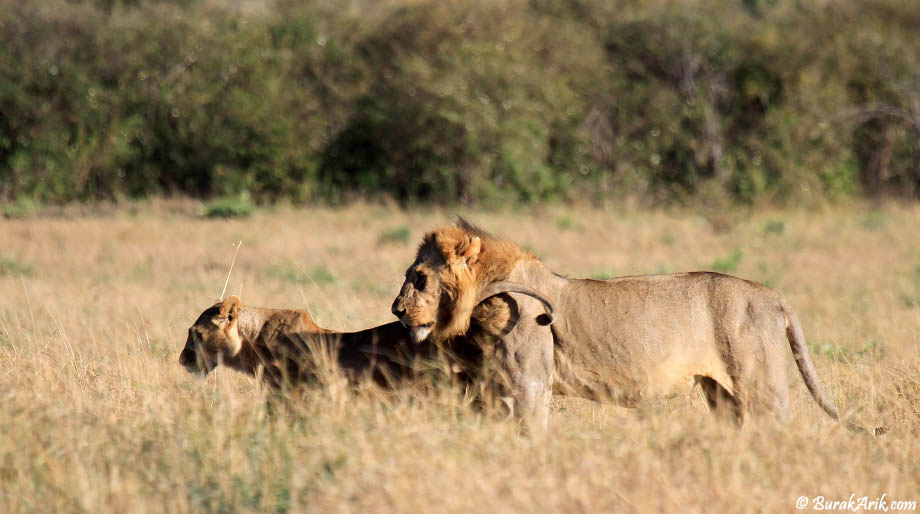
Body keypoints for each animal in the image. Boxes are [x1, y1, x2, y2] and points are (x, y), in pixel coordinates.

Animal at [388, 218, 876, 430]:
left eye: (420, 278)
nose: (397, 310)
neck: (485, 296)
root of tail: (773, 295)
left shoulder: (530, 382)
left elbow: (532, 428)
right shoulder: (497, 384)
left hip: (762, 386)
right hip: (722, 393)